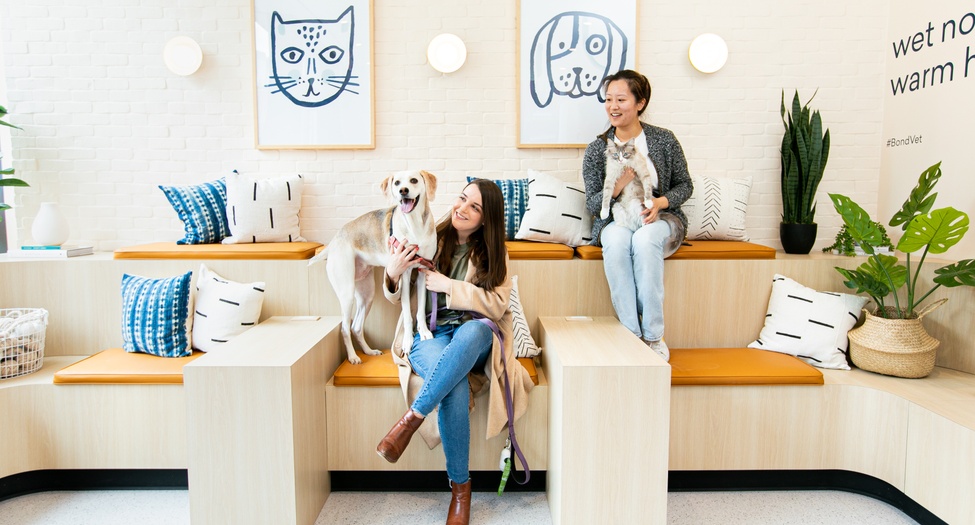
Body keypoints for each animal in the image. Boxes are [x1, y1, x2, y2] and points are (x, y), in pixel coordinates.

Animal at [312, 170, 438, 362]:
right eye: (397, 182)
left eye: (414, 180)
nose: (403, 190)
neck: (414, 225)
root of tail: (334, 240)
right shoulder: (405, 273)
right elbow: (408, 314)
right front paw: (408, 341)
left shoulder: (423, 270)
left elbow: (421, 310)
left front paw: (424, 332)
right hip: (347, 293)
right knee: (345, 328)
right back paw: (353, 356)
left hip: (367, 294)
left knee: (356, 327)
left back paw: (369, 351)